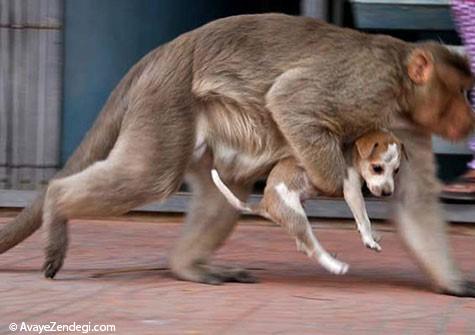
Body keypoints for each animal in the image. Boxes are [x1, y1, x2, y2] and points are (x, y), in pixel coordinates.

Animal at [212, 129, 406, 276]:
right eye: (377, 168)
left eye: (396, 171)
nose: (388, 193)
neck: (352, 154)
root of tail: (265, 202)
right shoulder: (352, 191)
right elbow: (364, 219)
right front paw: (369, 240)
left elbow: (363, 219)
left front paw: (373, 234)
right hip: (297, 217)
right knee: (313, 248)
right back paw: (336, 266)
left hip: (298, 214)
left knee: (303, 245)